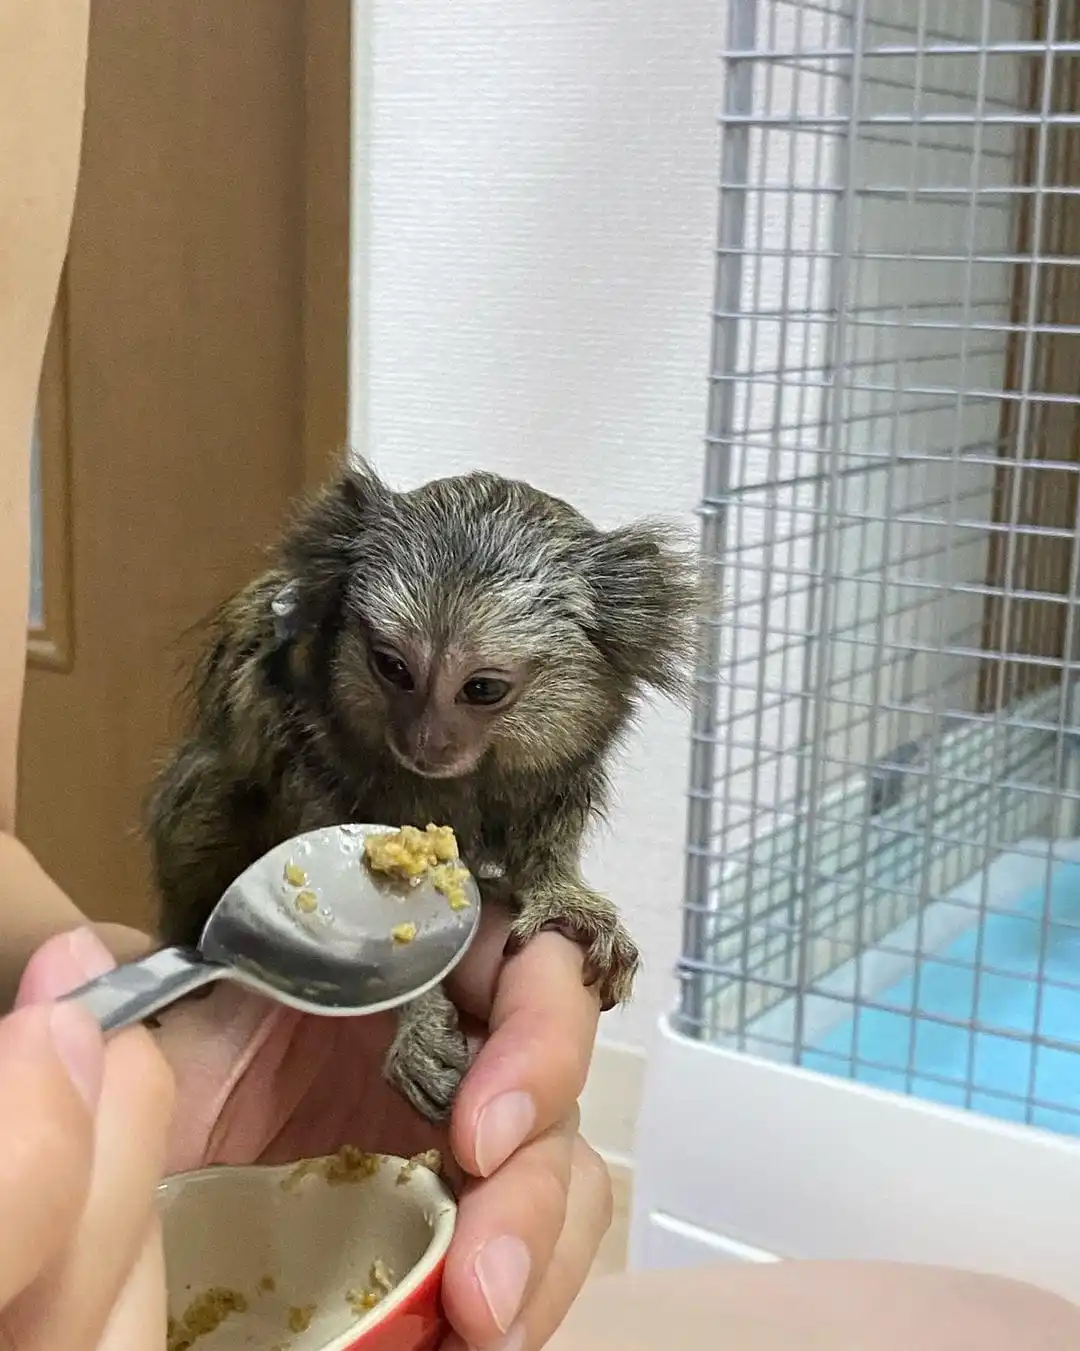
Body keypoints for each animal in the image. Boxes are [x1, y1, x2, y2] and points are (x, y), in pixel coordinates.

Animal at [145, 456, 702, 1124]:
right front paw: (417, 1020)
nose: (424, 741)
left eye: (482, 689)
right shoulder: (303, 747)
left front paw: (559, 892)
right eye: (393, 668)